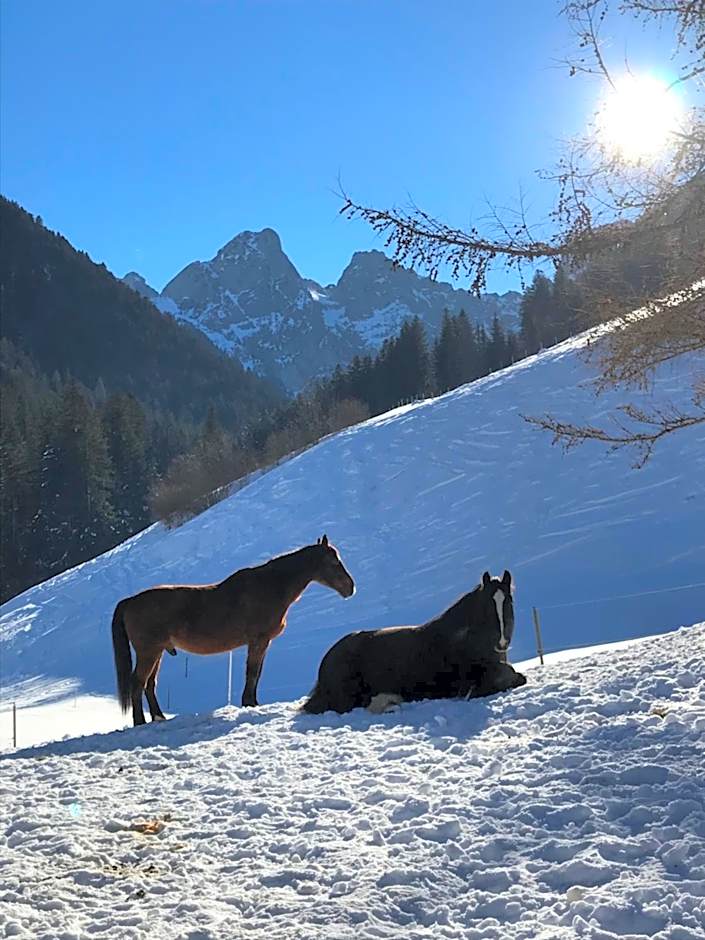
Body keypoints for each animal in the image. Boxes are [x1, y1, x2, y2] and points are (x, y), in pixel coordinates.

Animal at [112, 535, 355, 726]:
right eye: (334, 562)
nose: (350, 588)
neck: (271, 586)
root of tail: (131, 601)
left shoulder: (262, 642)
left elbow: (256, 673)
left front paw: (252, 703)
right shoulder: (259, 640)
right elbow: (252, 673)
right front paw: (249, 703)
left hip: (158, 651)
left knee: (150, 685)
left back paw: (159, 717)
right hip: (149, 652)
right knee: (138, 683)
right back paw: (139, 721)